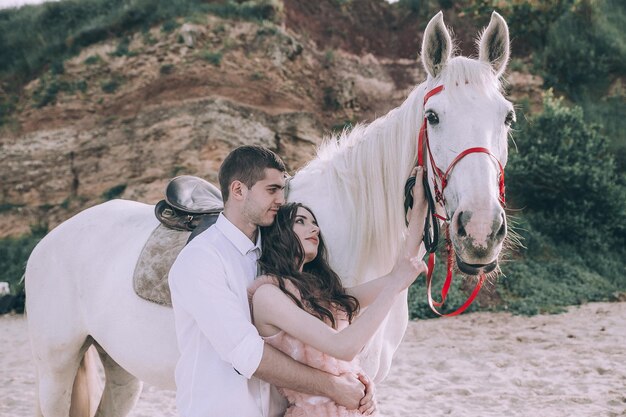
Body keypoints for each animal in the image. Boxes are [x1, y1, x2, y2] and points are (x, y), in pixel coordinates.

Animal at [25, 11, 512, 416]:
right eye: (432, 116)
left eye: (506, 118)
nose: (481, 230)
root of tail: (52, 239)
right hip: (56, 366)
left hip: (122, 368)